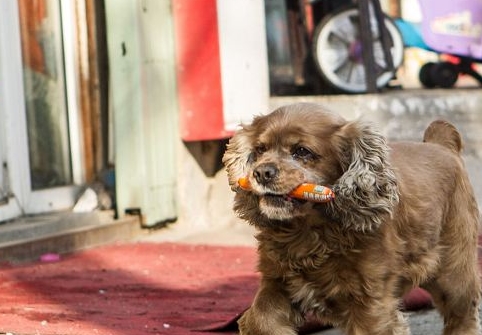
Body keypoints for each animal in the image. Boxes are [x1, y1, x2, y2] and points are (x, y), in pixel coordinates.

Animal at [224, 103, 480, 334]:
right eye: (260, 149)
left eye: (302, 151)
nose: (261, 172)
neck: (309, 232)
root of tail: (441, 145)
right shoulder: (276, 283)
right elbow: (262, 319)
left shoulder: (370, 303)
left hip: (453, 272)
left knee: (463, 315)